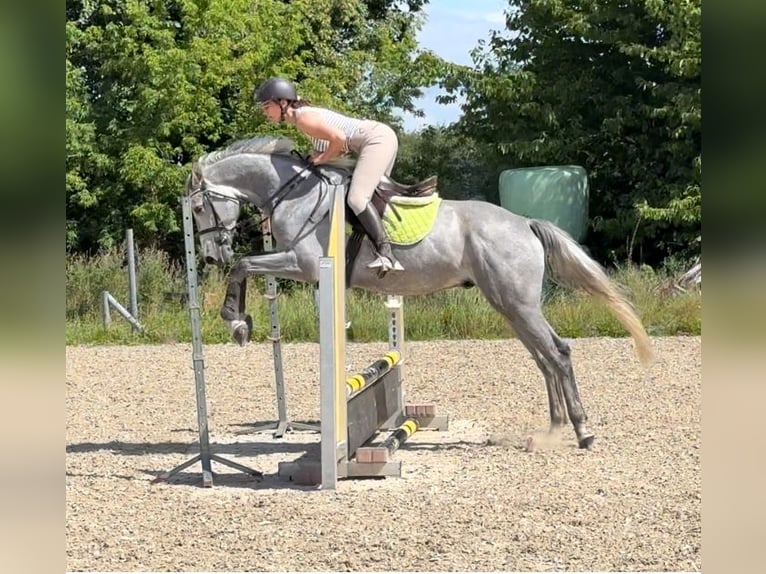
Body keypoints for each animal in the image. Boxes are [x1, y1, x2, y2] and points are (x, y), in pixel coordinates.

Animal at [186, 136, 654, 449]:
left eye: (198, 207)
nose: (210, 255)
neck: (294, 193)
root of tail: (525, 222)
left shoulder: (302, 264)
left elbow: (245, 265)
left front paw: (237, 322)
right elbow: (246, 265)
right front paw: (240, 321)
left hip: (517, 303)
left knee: (557, 352)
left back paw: (582, 431)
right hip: (510, 305)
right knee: (545, 357)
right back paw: (553, 430)